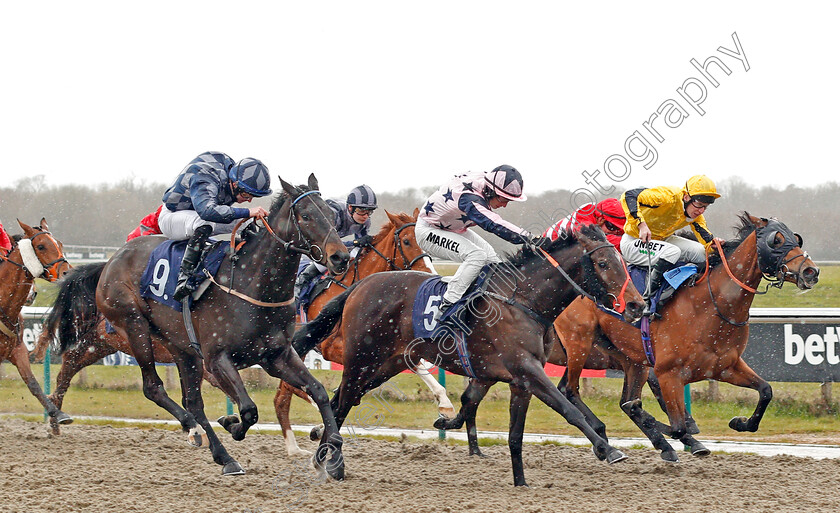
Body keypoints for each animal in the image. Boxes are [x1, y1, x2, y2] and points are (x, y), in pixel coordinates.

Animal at [0, 220, 71, 424]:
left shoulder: (17, 349)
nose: (67, 272)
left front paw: (57, 413)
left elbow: (32, 383)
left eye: (60, 244)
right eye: (41, 246)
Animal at [49, 176, 352, 476]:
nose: (340, 257)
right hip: (134, 327)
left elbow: (318, 391)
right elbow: (249, 409)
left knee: (192, 401)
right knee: (153, 387)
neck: (252, 283)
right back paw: (194, 430)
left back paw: (224, 456)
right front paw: (233, 425)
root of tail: (110, 261)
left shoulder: (276, 355)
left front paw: (333, 452)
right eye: (306, 216)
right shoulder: (217, 358)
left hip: (181, 348)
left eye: (332, 215)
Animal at [274, 208, 460, 456]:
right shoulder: (333, 347)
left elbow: (411, 363)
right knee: (290, 389)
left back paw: (294, 448)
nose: (430, 272)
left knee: (282, 396)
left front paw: (445, 404)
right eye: (407, 241)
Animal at [288, 226, 644, 486]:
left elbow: (515, 435)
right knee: (342, 402)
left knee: (341, 400)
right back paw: (330, 462)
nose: (637, 304)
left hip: (384, 365)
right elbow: (569, 409)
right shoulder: (529, 371)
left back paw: (325, 456)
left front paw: (520, 482)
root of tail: (359, 286)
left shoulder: (521, 381)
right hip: (362, 359)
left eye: (621, 262)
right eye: (603, 264)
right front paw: (608, 449)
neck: (523, 300)